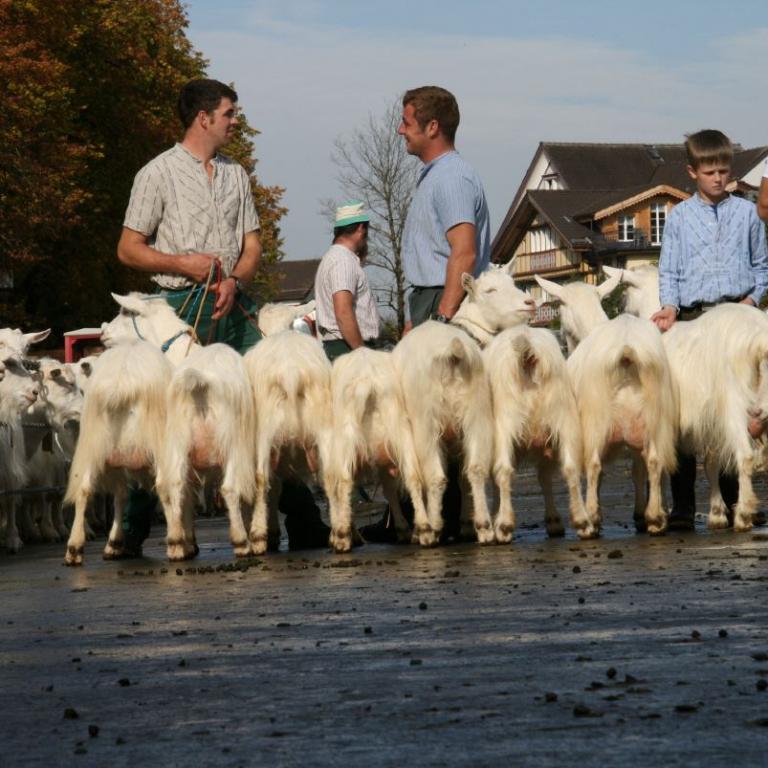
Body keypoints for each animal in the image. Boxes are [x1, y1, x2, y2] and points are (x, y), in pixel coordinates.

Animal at [243, 331, 332, 554]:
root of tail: (290, 372)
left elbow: (272, 489)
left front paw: (272, 534)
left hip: (264, 434)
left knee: (261, 479)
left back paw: (258, 538)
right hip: (323, 428)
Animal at [323, 347, 424, 552]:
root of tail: (367, 381)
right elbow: (390, 490)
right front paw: (402, 529)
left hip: (346, 441)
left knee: (344, 482)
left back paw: (343, 538)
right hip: (401, 434)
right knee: (412, 476)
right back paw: (423, 531)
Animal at [391, 265, 536, 546]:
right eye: (490, 290)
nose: (530, 303)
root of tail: (453, 351)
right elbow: (463, 474)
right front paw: (467, 524)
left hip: (427, 420)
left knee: (435, 476)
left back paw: (432, 529)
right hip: (475, 411)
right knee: (476, 469)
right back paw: (483, 527)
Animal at [483, 326, 594, 541]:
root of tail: (528, 354)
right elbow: (545, 478)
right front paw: (553, 521)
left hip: (504, 425)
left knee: (503, 470)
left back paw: (504, 525)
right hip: (563, 417)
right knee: (570, 468)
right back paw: (582, 521)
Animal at [535, 274, 678, 534]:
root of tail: (626, 350)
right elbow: (638, 470)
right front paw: (643, 513)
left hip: (596, 418)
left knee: (593, 466)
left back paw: (590, 520)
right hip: (655, 417)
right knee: (655, 461)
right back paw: (655, 518)